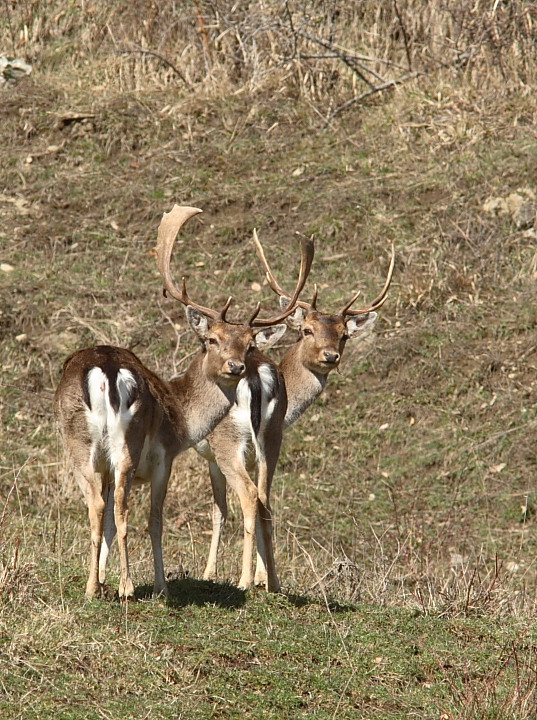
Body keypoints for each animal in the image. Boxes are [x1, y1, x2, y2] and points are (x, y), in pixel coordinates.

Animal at [54, 205, 312, 600]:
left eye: (249, 343)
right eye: (211, 339)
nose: (236, 366)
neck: (182, 416)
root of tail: (107, 369)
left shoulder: (138, 463)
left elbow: (122, 519)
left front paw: (107, 579)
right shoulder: (164, 456)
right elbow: (153, 519)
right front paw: (154, 584)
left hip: (86, 444)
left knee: (100, 506)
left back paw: (99, 588)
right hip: (119, 442)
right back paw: (128, 586)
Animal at [199, 233, 392, 592]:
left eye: (344, 335)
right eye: (307, 330)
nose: (331, 356)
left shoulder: (213, 454)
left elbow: (220, 512)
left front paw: (212, 575)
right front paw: (263, 575)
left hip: (229, 440)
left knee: (251, 497)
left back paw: (246, 581)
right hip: (267, 440)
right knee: (264, 499)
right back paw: (269, 581)